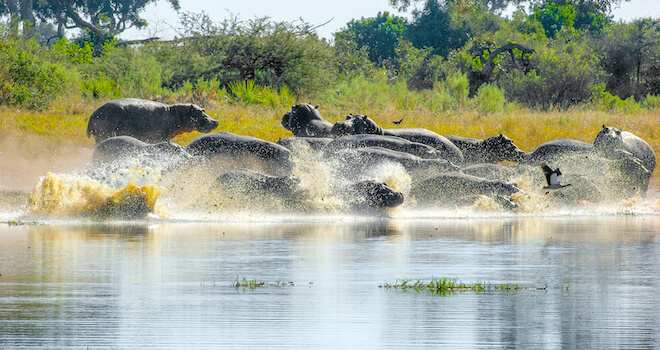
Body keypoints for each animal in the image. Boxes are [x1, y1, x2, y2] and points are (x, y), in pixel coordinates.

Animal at [85, 98, 218, 144]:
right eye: (200, 112)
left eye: (203, 109)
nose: (216, 121)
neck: (178, 113)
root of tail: (92, 115)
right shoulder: (164, 136)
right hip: (105, 133)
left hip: (98, 136)